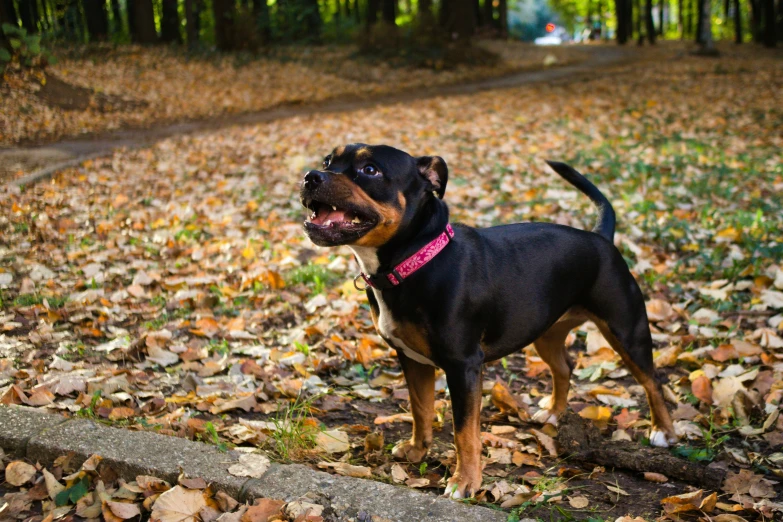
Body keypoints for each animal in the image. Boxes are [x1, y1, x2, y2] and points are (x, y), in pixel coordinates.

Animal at [298, 144, 676, 498]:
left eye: (370, 170)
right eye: (329, 161)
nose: (311, 176)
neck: (416, 260)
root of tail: (600, 237)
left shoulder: (463, 366)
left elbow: (464, 432)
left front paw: (464, 482)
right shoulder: (411, 359)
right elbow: (420, 410)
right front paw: (418, 450)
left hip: (626, 329)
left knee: (652, 381)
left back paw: (663, 432)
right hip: (545, 333)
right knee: (564, 368)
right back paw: (554, 413)